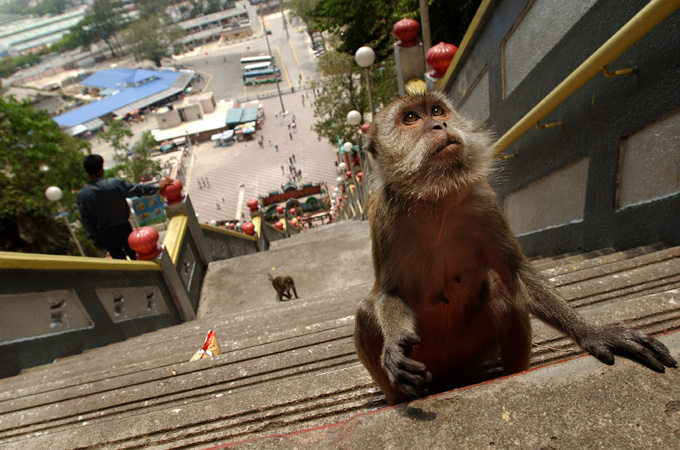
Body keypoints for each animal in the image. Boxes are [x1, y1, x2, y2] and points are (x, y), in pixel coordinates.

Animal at [353, 90, 677, 406]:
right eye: (410, 118)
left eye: (436, 111)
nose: (439, 125)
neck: (436, 200)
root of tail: (452, 378)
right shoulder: (384, 217)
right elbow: (388, 294)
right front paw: (394, 346)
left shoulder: (484, 203)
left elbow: (517, 273)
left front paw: (593, 333)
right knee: (366, 315)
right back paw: (400, 398)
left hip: (469, 351)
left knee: (505, 294)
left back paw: (512, 373)